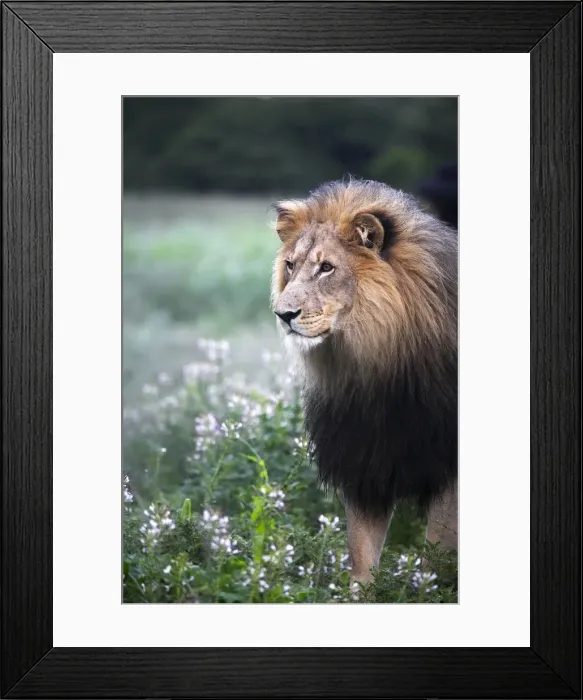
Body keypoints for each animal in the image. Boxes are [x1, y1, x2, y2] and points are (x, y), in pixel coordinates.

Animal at [271, 178, 457, 584]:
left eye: (326, 268)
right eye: (291, 265)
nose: (283, 314)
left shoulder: (448, 471)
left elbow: (437, 563)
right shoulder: (364, 463)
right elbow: (361, 563)